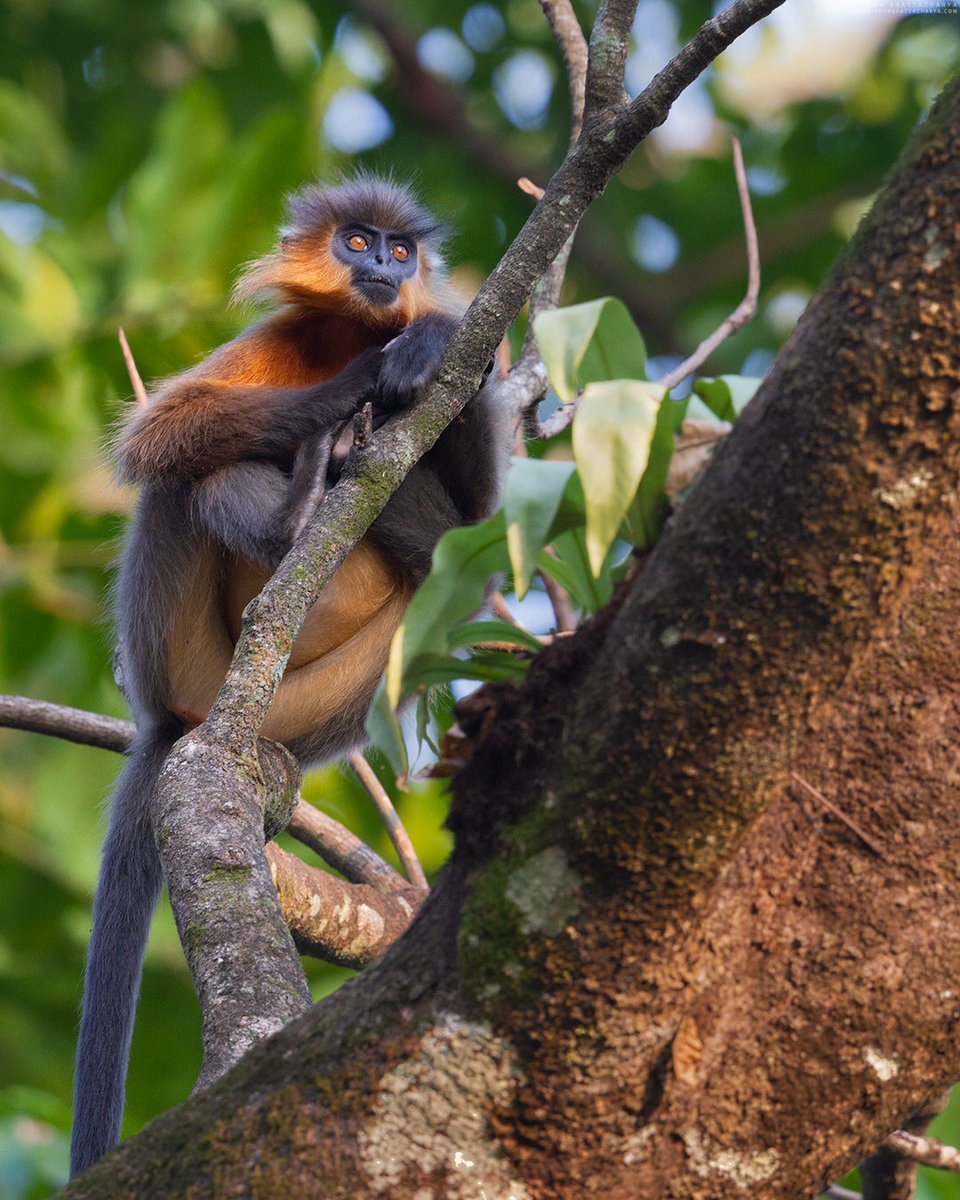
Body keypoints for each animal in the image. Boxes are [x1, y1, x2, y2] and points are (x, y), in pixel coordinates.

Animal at [72, 177, 508, 1180]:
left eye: (399, 249)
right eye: (356, 241)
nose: (382, 266)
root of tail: (187, 717)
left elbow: (481, 515)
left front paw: (427, 342)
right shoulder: (282, 343)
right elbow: (155, 438)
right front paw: (353, 389)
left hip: (323, 705)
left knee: (440, 561)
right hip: (175, 644)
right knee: (192, 475)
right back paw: (298, 504)